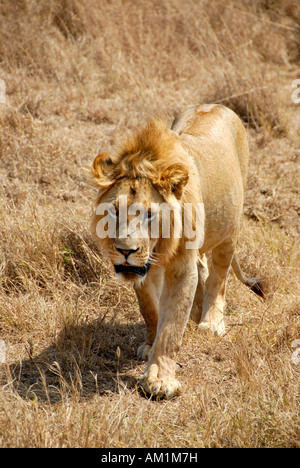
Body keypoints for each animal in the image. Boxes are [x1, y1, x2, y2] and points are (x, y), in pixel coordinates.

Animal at [90, 105, 262, 398]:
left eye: (149, 214)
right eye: (114, 210)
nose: (125, 251)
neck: (158, 249)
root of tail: (220, 106)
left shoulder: (181, 267)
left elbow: (171, 326)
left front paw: (160, 380)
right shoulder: (143, 270)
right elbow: (150, 310)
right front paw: (150, 345)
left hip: (230, 230)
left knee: (219, 278)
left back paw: (210, 321)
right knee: (203, 268)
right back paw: (197, 309)